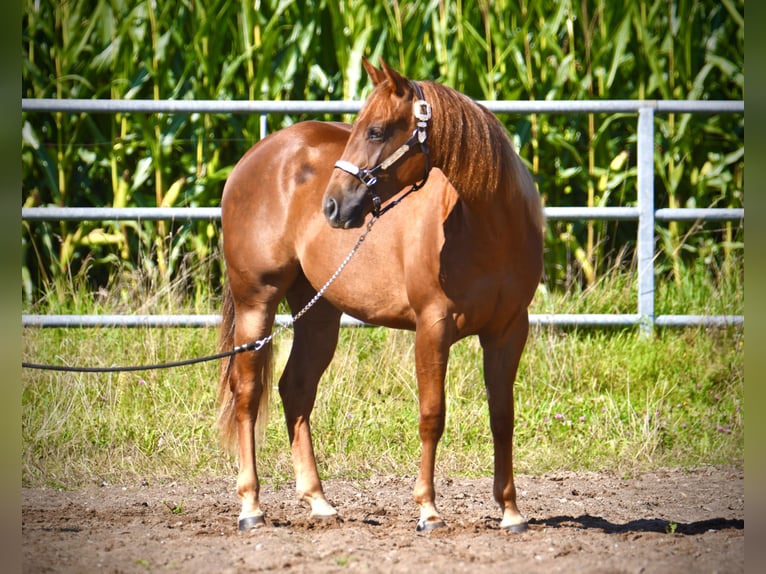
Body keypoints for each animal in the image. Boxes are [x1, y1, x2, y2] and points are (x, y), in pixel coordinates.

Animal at [217, 59, 544, 533]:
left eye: (375, 131)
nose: (332, 206)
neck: (487, 228)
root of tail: (254, 157)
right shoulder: (433, 326)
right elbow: (432, 415)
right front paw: (428, 510)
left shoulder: (509, 330)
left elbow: (502, 417)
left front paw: (510, 511)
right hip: (255, 303)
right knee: (247, 393)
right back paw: (251, 507)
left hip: (317, 314)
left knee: (295, 389)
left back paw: (319, 501)